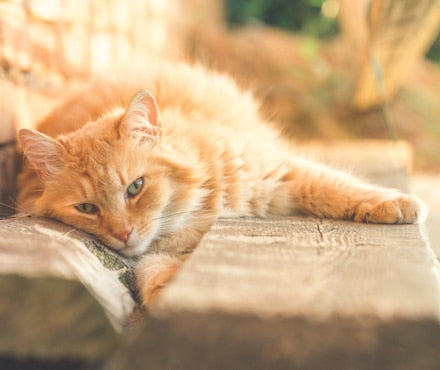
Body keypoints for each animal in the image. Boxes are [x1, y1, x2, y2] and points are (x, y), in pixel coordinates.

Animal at [16, 62, 426, 306]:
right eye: (87, 208)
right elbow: (152, 269)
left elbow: (335, 186)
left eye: (135, 187)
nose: (123, 234)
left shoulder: (278, 169)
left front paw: (392, 202)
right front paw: (166, 284)